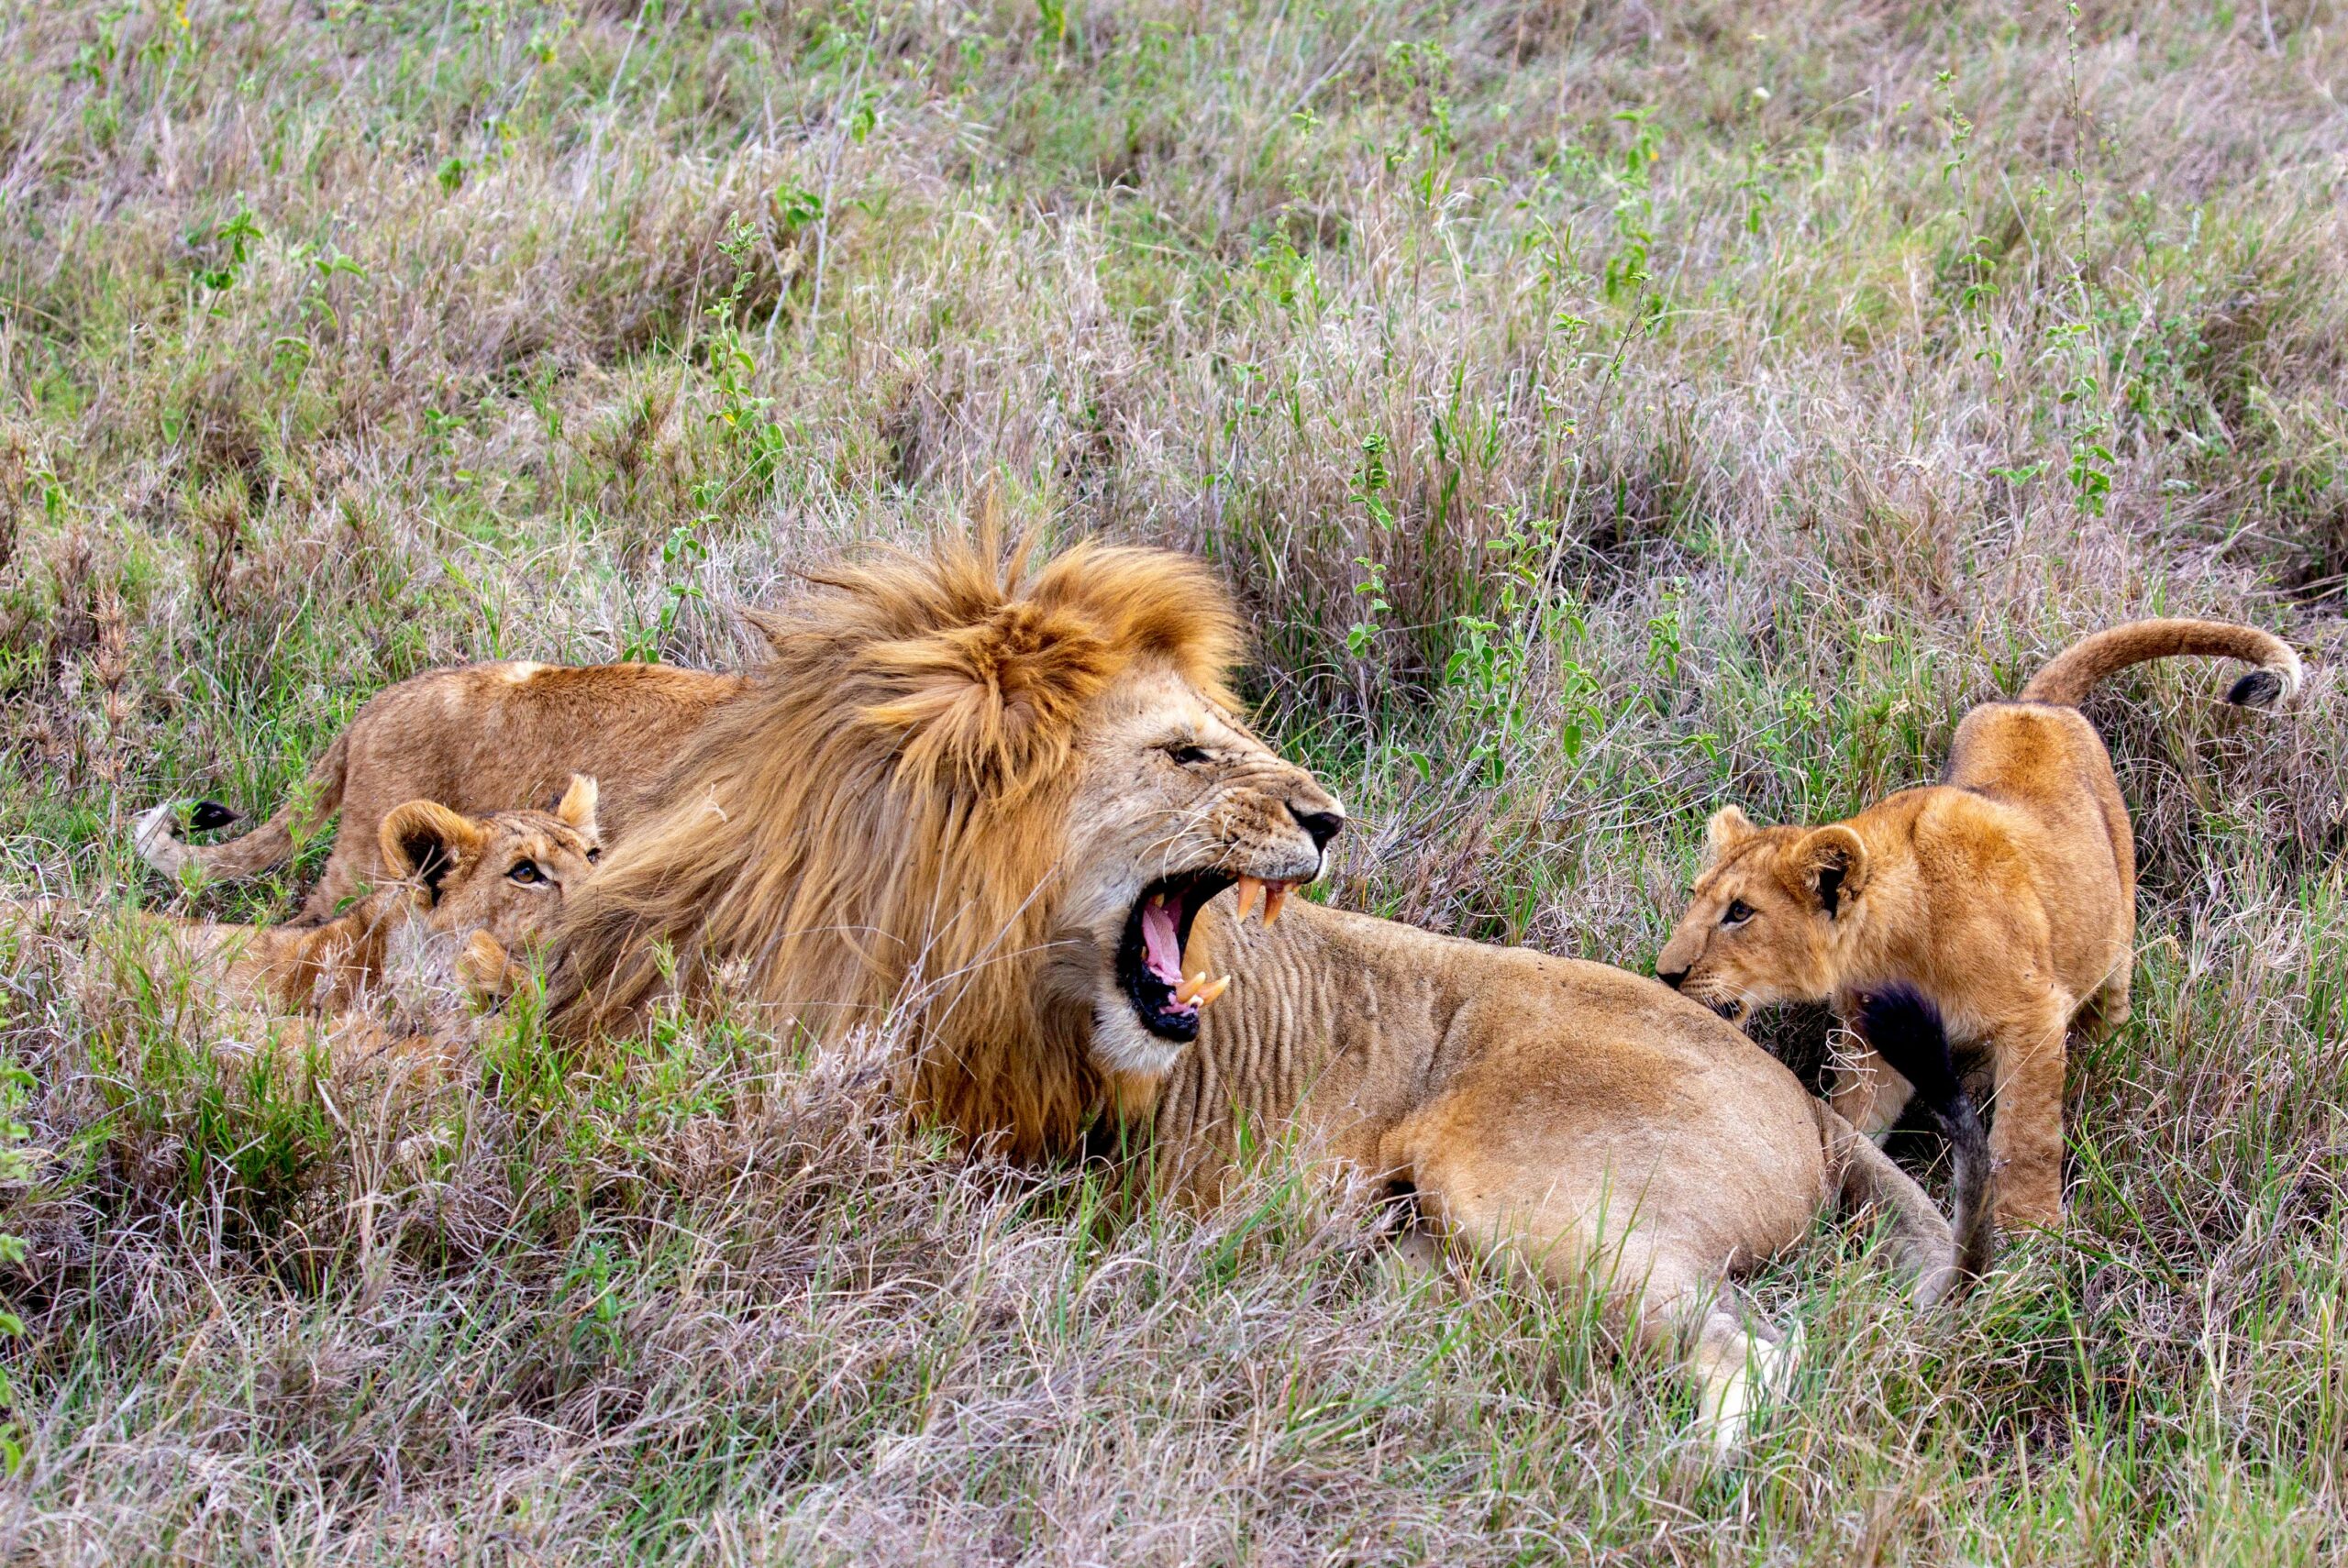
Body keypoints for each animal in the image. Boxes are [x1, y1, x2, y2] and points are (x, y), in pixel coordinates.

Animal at [1654, 618, 2301, 1227]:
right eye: (1697, 897)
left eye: (1740, 912)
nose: (1664, 975)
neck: (1894, 942)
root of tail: (2035, 703)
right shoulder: (1875, 1042)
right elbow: (1857, 1118)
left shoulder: (2034, 1015)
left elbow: (2027, 1135)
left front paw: (2030, 1231)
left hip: (2115, 928)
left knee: (2109, 998)